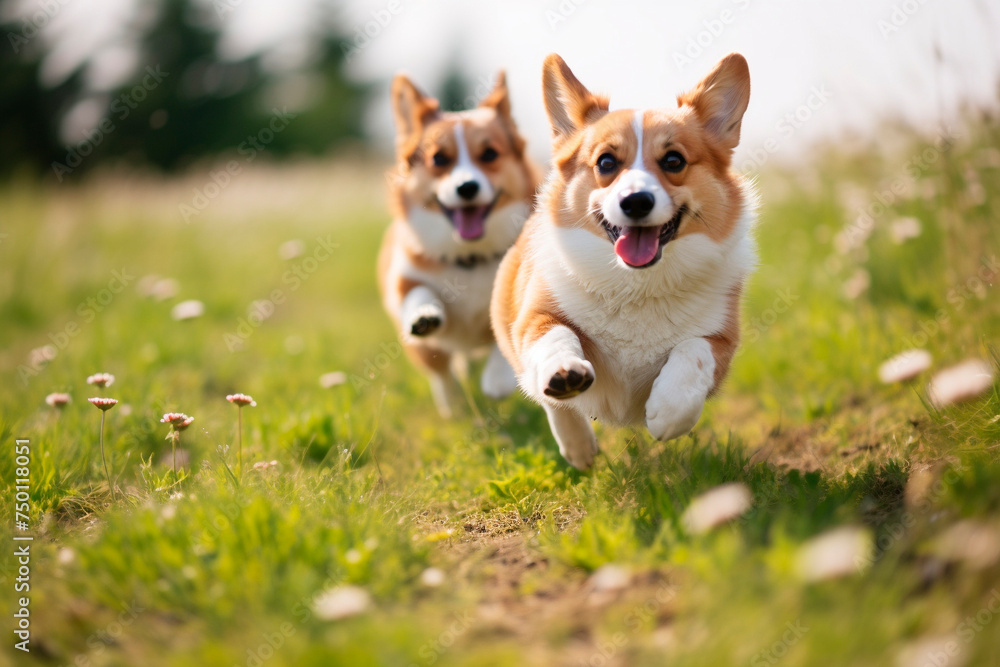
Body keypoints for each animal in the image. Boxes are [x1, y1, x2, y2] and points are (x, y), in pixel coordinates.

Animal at [378, 73, 544, 418]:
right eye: (439, 159)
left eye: (490, 154)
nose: (467, 187)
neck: (470, 257)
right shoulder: (403, 278)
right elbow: (417, 294)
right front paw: (424, 316)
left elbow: (504, 330)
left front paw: (497, 380)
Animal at [488, 53, 752, 470]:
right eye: (606, 162)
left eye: (674, 160)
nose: (636, 202)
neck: (637, 284)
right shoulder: (535, 316)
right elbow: (556, 336)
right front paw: (565, 371)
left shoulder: (722, 339)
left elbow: (693, 352)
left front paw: (668, 412)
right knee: (552, 402)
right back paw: (579, 447)